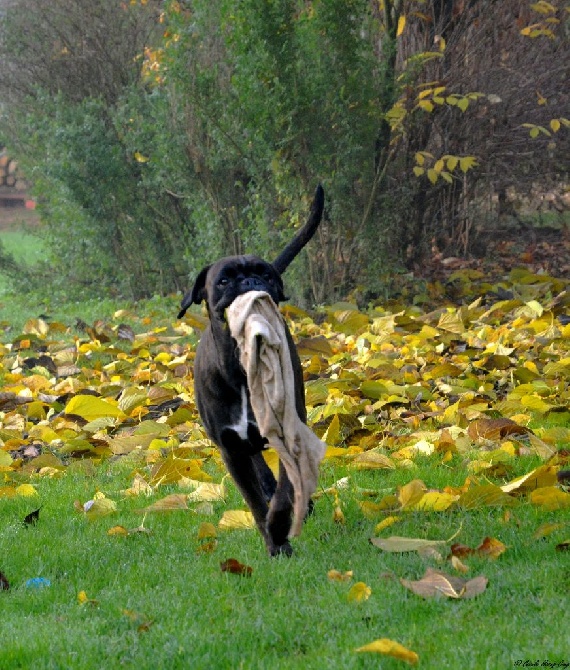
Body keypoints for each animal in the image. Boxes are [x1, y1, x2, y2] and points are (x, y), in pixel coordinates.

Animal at [178, 186, 322, 560]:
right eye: (224, 280)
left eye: (267, 274)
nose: (250, 280)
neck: (242, 371)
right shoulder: (230, 448)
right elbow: (255, 501)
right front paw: (274, 541)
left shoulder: (288, 434)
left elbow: (285, 494)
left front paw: (280, 530)